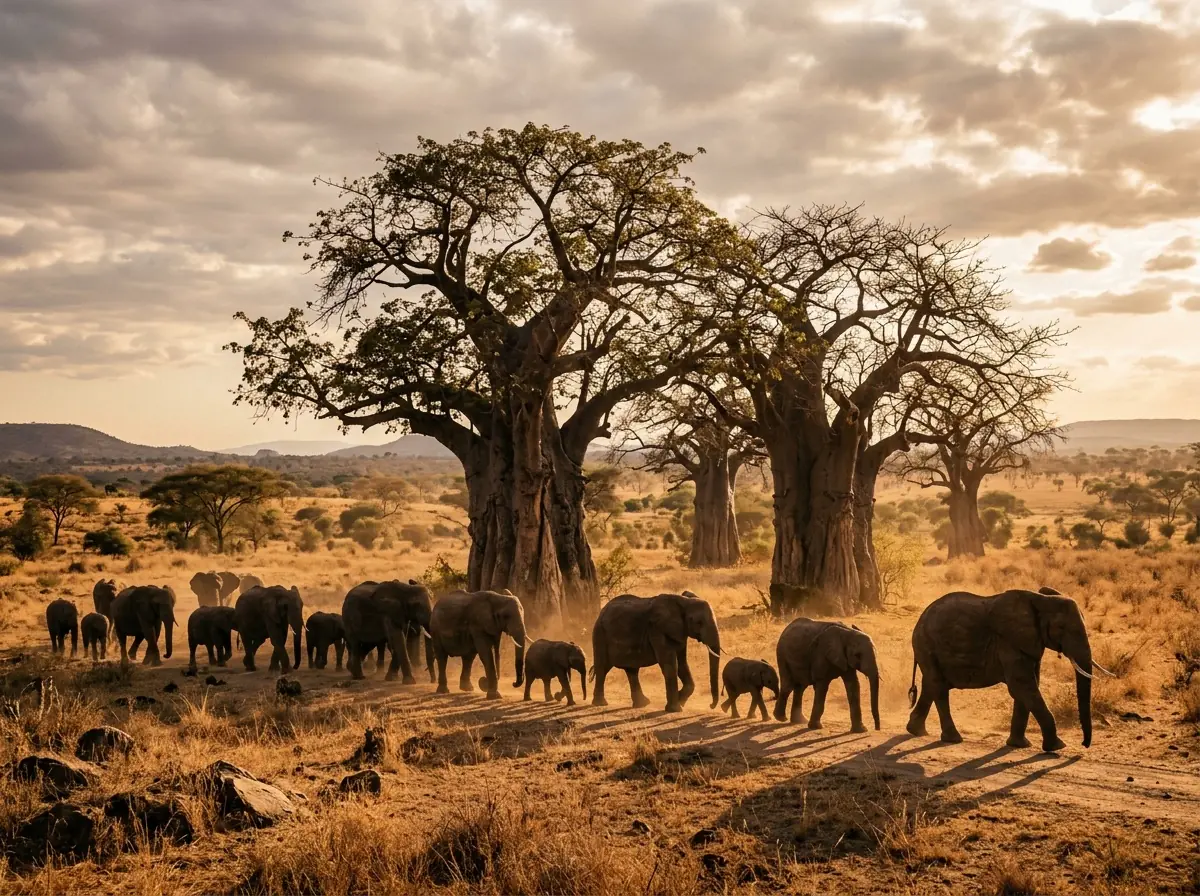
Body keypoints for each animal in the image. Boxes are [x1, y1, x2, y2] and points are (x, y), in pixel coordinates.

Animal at [590, 590, 722, 713]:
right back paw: (601, 704)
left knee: (631, 670)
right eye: (698, 622)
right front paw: (675, 709)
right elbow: (670, 665)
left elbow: (682, 664)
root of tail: (602, 611)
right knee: (602, 667)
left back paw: (642, 704)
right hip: (599, 634)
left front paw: (680, 700)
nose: (711, 705)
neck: (684, 601)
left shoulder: (680, 633)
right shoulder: (657, 630)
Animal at [906, 588, 1103, 752]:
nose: (1084, 744)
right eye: (1061, 628)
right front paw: (1057, 747)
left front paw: (1019, 745)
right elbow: (1022, 686)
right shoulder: (1009, 643)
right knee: (938, 687)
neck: (1041, 600)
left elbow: (1027, 688)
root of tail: (920, 620)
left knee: (931, 685)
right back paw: (952, 739)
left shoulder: (1029, 645)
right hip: (926, 644)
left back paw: (916, 731)